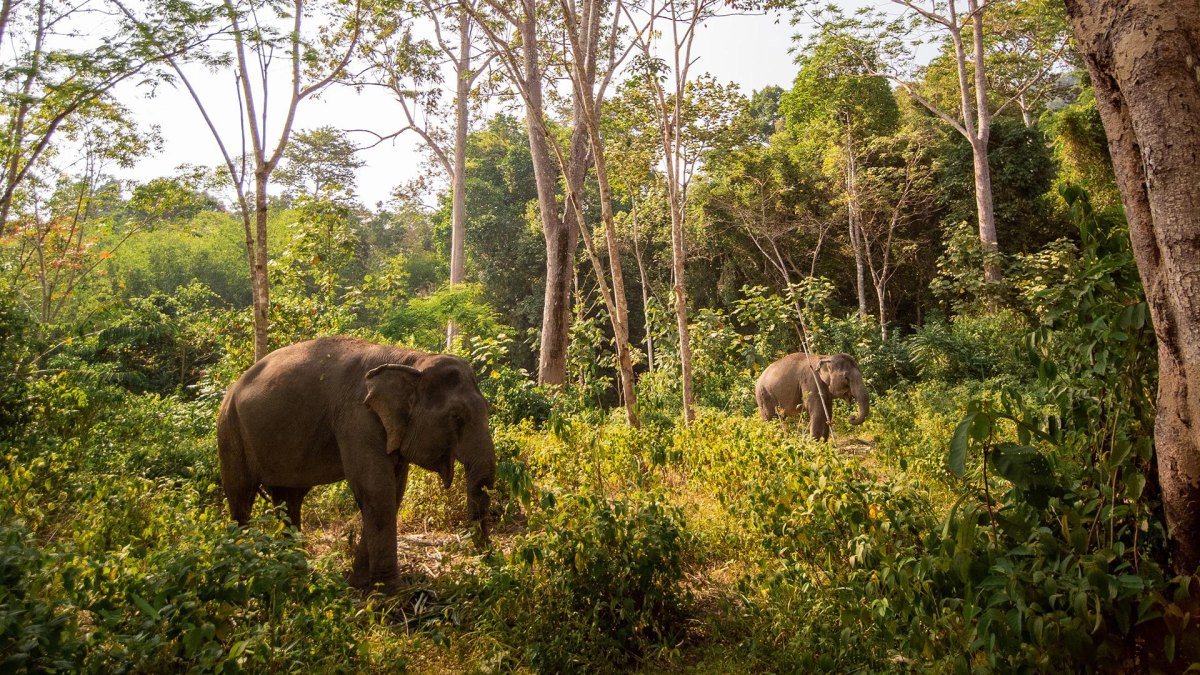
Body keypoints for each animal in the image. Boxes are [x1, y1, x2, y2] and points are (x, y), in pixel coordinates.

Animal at [216, 336, 496, 591]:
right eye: (456, 417)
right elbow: (377, 489)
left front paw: (359, 584)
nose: (489, 558)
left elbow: (394, 492)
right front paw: (392, 592)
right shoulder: (357, 417)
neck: (410, 360)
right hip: (230, 430)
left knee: (288, 501)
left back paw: (295, 572)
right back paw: (244, 569)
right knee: (241, 496)